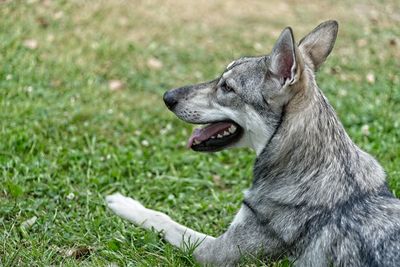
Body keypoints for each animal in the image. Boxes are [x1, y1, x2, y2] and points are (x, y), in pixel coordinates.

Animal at [106, 21, 400, 267]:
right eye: (221, 78)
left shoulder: (212, 252)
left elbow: (165, 220)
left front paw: (123, 203)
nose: (167, 97)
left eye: (227, 87)